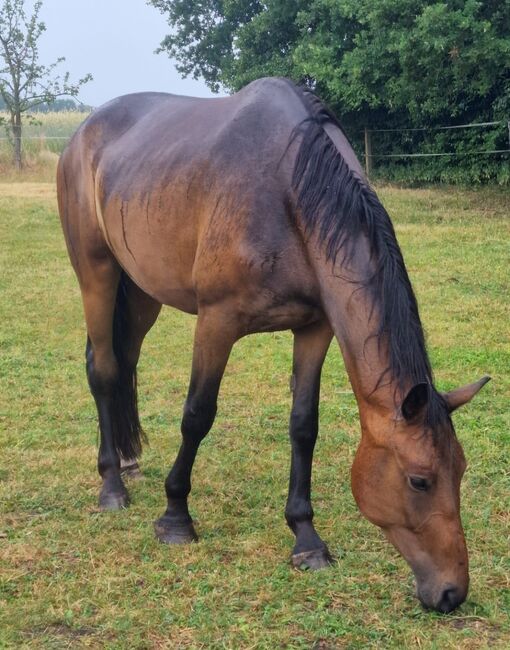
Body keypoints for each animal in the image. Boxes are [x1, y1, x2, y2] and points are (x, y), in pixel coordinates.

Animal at [56, 78, 490, 612]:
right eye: (420, 480)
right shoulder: (216, 323)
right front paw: (176, 517)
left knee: (123, 361)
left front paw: (306, 538)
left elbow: (304, 426)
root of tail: (82, 133)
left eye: (461, 470)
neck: (287, 190)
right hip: (96, 272)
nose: (452, 592)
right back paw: (112, 486)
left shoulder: (315, 329)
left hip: (140, 291)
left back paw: (128, 461)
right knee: (105, 371)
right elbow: (197, 415)